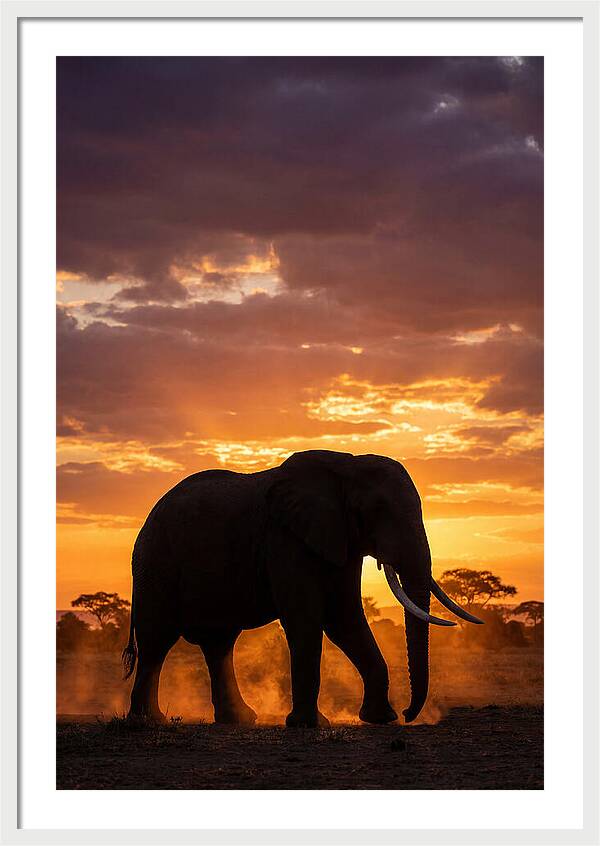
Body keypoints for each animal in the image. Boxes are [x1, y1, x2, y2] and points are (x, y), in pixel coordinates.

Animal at [122, 449, 482, 727]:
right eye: (376, 511)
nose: (409, 714)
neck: (346, 465)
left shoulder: (339, 538)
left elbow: (344, 618)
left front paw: (381, 719)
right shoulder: (284, 537)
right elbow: (307, 619)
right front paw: (308, 724)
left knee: (218, 644)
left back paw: (239, 720)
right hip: (155, 564)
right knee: (157, 642)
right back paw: (148, 722)